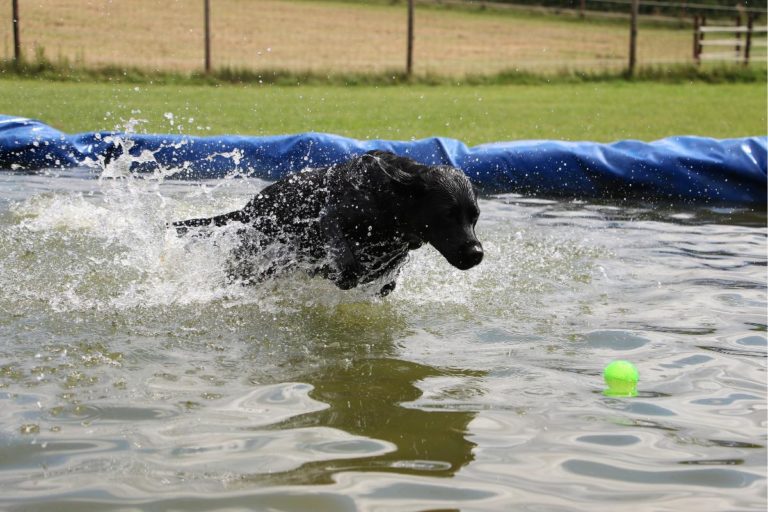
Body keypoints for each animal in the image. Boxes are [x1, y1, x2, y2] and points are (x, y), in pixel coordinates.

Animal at [176, 151, 486, 296]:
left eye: (475, 217)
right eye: (447, 214)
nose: (476, 253)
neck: (390, 196)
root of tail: (248, 209)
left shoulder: (399, 248)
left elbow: (386, 280)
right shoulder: (331, 218)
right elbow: (345, 261)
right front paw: (339, 272)